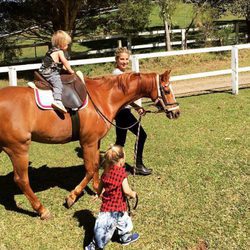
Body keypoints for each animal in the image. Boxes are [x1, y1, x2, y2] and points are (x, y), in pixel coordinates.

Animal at [0, 70, 180, 219]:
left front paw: (98, 188)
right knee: (21, 179)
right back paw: (41, 210)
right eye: (167, 90)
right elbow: (91, 167)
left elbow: (96, 164)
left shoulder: (95, 141)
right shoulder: (88, 141)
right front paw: (72, 196)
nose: (177, 112)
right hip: (18, 149)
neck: (103, 96)